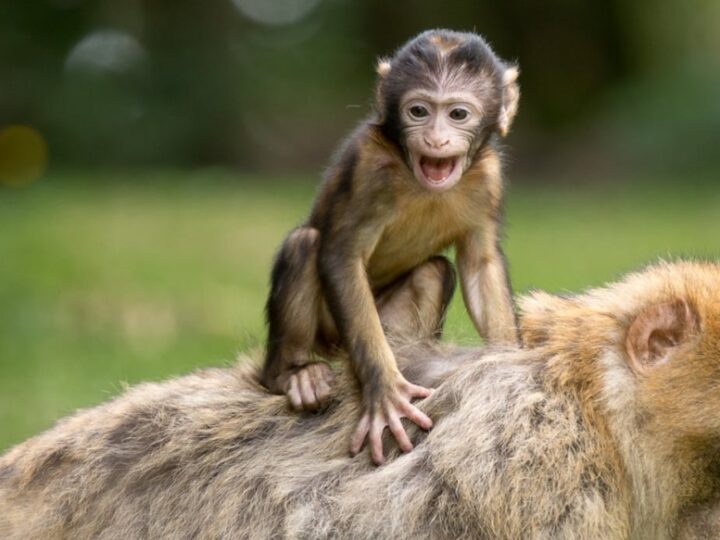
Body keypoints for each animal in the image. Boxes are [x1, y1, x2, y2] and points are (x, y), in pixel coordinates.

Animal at [262, 28, 520, 464]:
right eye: (418, 111)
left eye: (457, 115)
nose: (435, 138)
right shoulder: (369, 167)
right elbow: (341, 257)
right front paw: (384, 392)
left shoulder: (489, 177)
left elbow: (479, 264)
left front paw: (508, 367)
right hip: (330, 333)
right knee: (305, 245)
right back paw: (292, 375)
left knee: (434, 271)